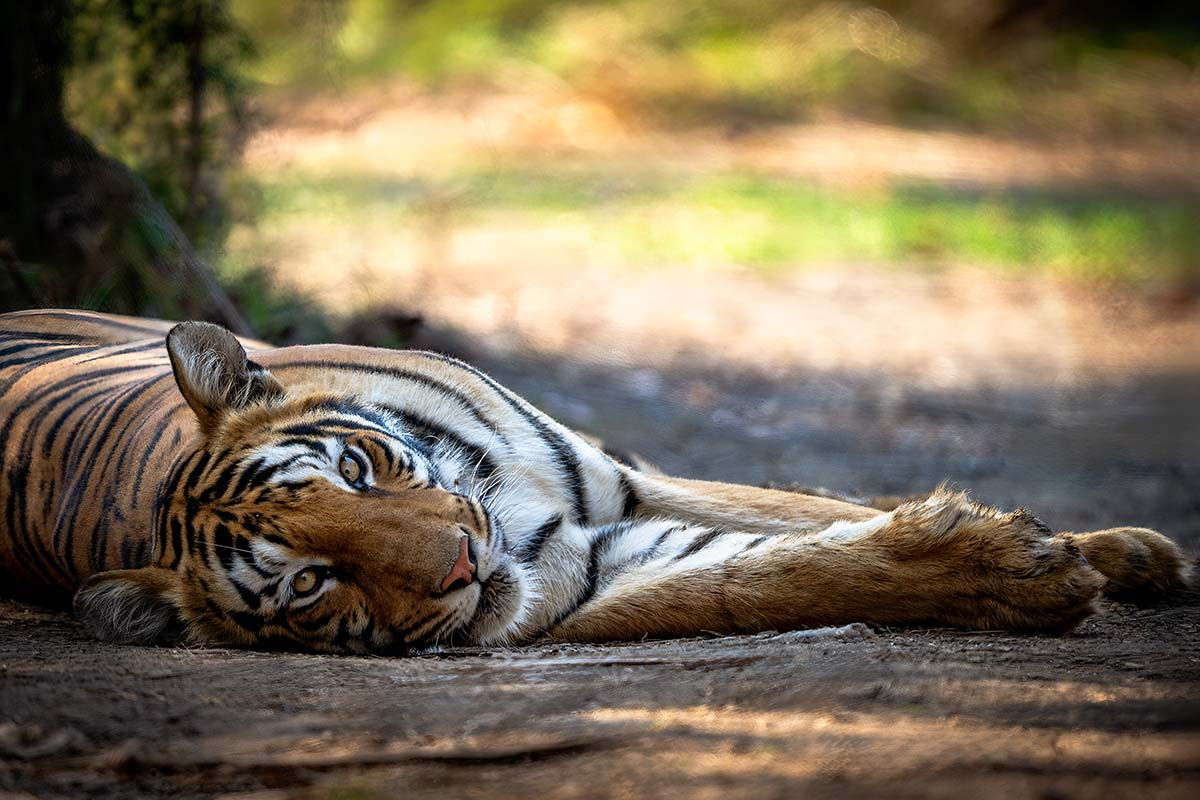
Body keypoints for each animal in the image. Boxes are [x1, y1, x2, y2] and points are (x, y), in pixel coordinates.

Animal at [0, 309, 1189, 654]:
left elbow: (817, 511)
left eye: (355, 467)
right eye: (307, 584)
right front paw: (1023, 573)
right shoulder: (586, 573)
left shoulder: (620, 478)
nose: (463, 560)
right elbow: (766, 579)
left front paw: (1119, 550)